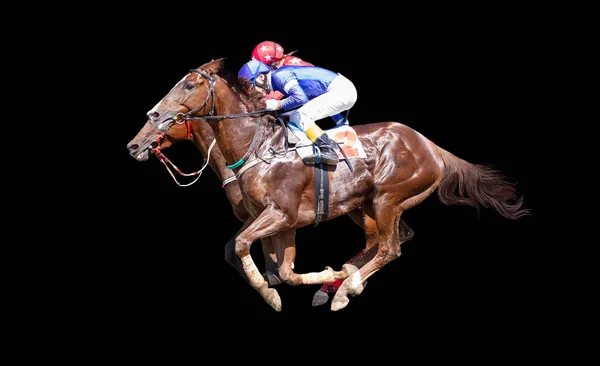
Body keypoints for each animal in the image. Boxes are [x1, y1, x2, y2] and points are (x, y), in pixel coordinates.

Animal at [126, 103, 414, 306]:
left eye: (167, 120)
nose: (133, 145)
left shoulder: (266, 214)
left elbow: (246, 249)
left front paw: (270, 283)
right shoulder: (260, 216)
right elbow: (239, 252)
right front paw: (268, 282)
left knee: (380, 239)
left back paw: (340, 285)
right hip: (360, 205)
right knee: (395, 235)